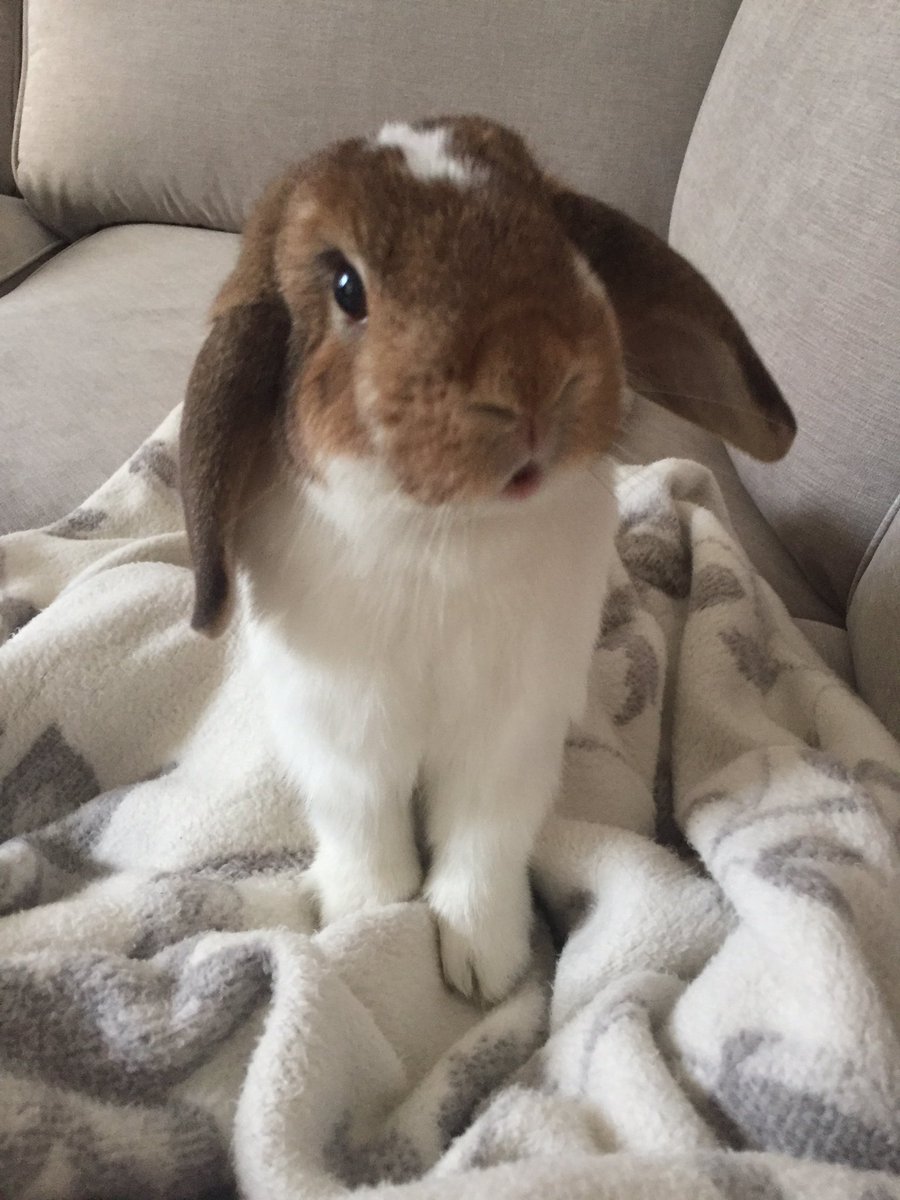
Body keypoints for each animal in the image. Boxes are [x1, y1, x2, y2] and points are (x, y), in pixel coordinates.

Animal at [180, 115, 795, 1003]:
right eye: (345, 286)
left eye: (559, 234)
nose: (530, 376)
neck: (444, 535)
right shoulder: (344, 734)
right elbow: (365, 828)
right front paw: (365, 918)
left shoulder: (510, 737)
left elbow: (482, 843)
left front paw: (485, 964)